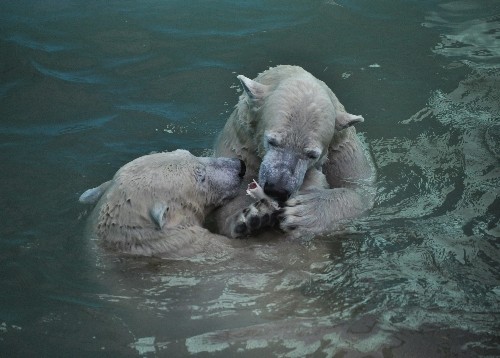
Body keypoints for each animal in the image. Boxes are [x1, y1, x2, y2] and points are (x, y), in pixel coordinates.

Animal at [213, 65, 374, 238]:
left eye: (312, 155)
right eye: (271, 141)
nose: (277, 189)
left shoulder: (341, 149)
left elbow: (360, 190)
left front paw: (303, 213)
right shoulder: (240, 143)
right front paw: (252, 216)